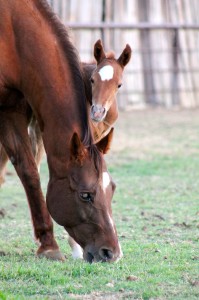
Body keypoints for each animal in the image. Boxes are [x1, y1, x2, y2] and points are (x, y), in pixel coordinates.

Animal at [0, 0, 121, 262]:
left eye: (112, 189)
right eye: (85, 194)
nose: (111, 253)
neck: (13, 36)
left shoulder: (10, 108)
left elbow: (29, 171)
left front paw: (48, 245)